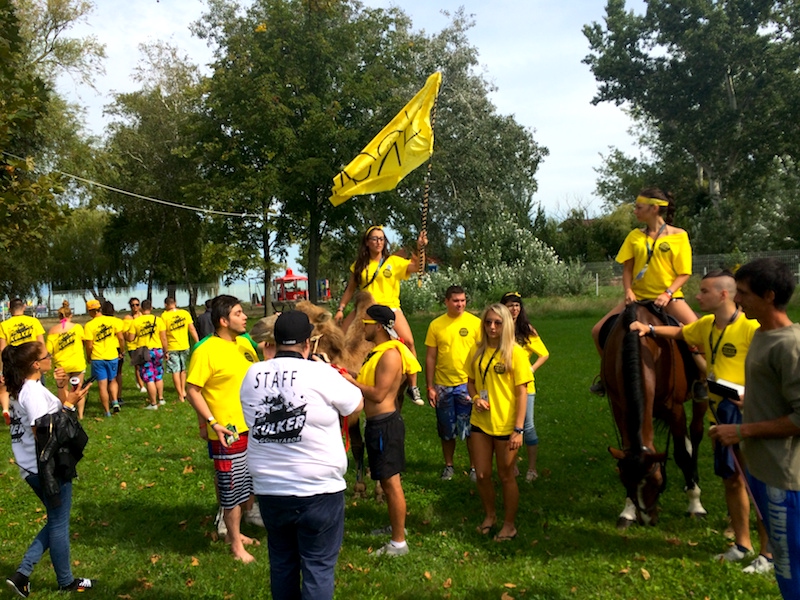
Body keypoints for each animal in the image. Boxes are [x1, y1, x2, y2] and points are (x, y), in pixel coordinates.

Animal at [600, 302, 708, 528]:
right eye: (625, 480)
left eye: (657, 481)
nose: (647, 519)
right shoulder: (619, 407)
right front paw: (628, 512)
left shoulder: (674, 408)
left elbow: (682, 454)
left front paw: (695, 505)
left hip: (699, 398)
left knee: (695, 434)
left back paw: (693, 482)